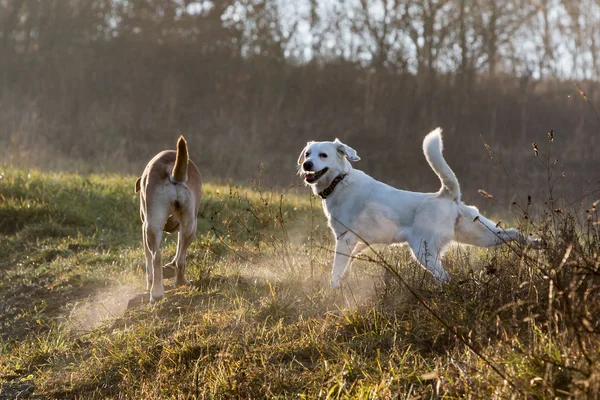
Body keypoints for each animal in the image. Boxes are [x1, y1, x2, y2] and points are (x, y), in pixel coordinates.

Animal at [135, 136, 203, 302]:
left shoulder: (144, 228)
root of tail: (172, 168)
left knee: (156, 257)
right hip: (190, 225)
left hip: (152, 227)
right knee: (179, 258)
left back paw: (157, 292)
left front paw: (149, 283)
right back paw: (177, 283)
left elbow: (148, 261)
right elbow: (178, 252)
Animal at [300, 128, 540, 288]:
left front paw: (332, 291)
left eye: (323, 155)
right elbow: (345, 267)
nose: (306, 164)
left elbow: (336, 270)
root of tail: (447, 195)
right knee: (513, 233)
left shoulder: (345, 238)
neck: (339, 181)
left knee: (444, 277)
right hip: (482, 235)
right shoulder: (358, 243)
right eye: (307, 153)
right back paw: (538, 244)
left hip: (424, 250)